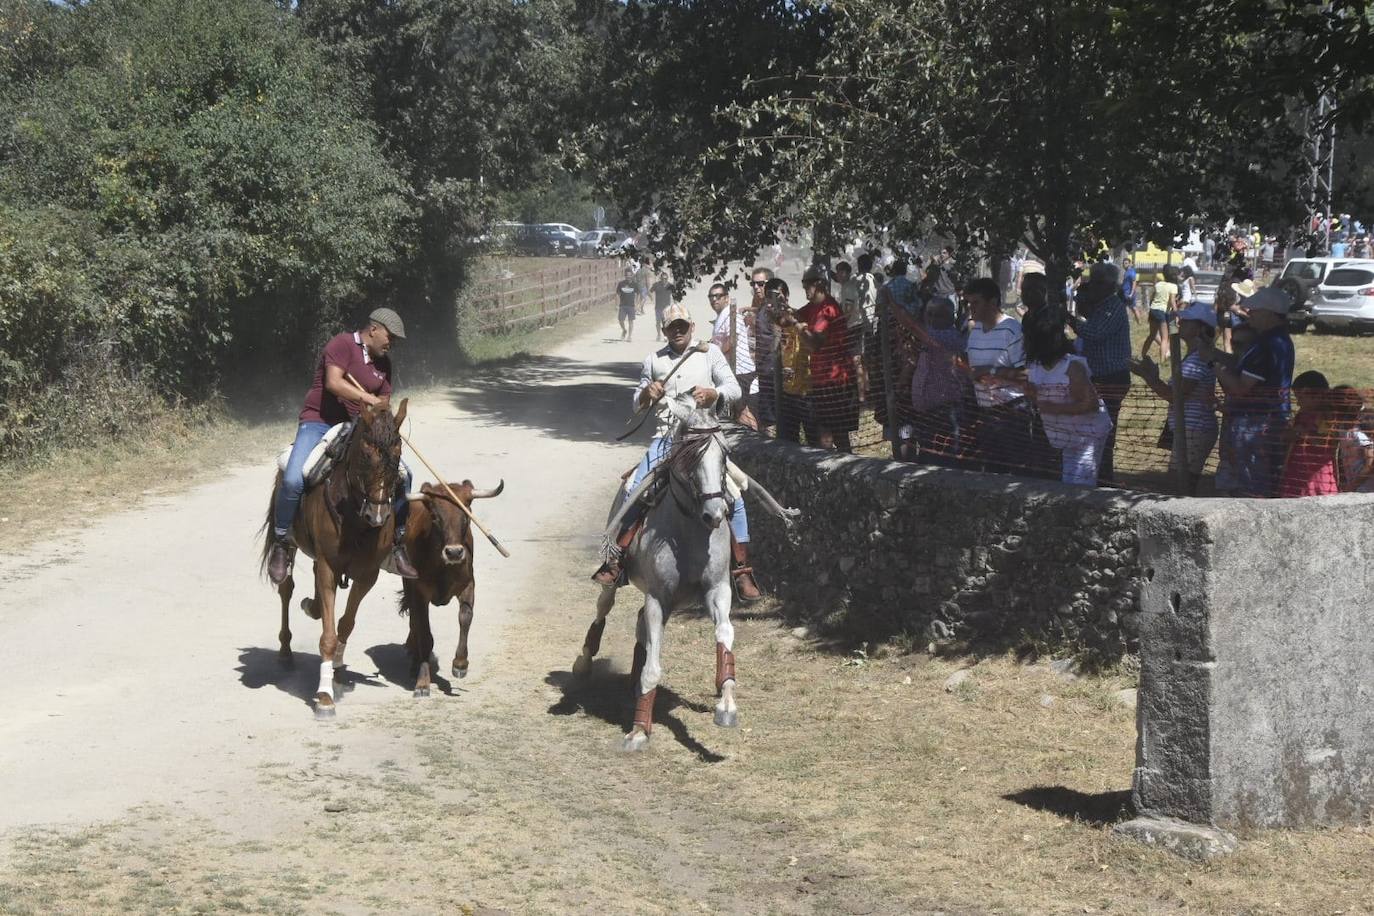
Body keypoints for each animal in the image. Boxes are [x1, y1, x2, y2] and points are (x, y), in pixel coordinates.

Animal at [258, 398, 403, 714]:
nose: (378, 515)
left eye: (398, 455)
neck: (356, 519)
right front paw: (324, 696)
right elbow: (327, 635)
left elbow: (345, 623)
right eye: (365, 455)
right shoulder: (328, 565)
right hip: (290, 540)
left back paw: (311, 606)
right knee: (286, 588)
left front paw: (336, 668)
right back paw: (286, 651)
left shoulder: (368, 574)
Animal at [568, 395, 741, 752]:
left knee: (639, 626)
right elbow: (653, 667)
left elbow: (724, 634)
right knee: (603, 611)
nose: (716, 514)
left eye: (724, 455)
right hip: (618, 583)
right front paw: (638, 731)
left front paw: (727, 705)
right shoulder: (658, 598)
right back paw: (585, 662)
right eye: (690, 457)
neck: (688, 531)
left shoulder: (716, 590)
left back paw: (634, 681)